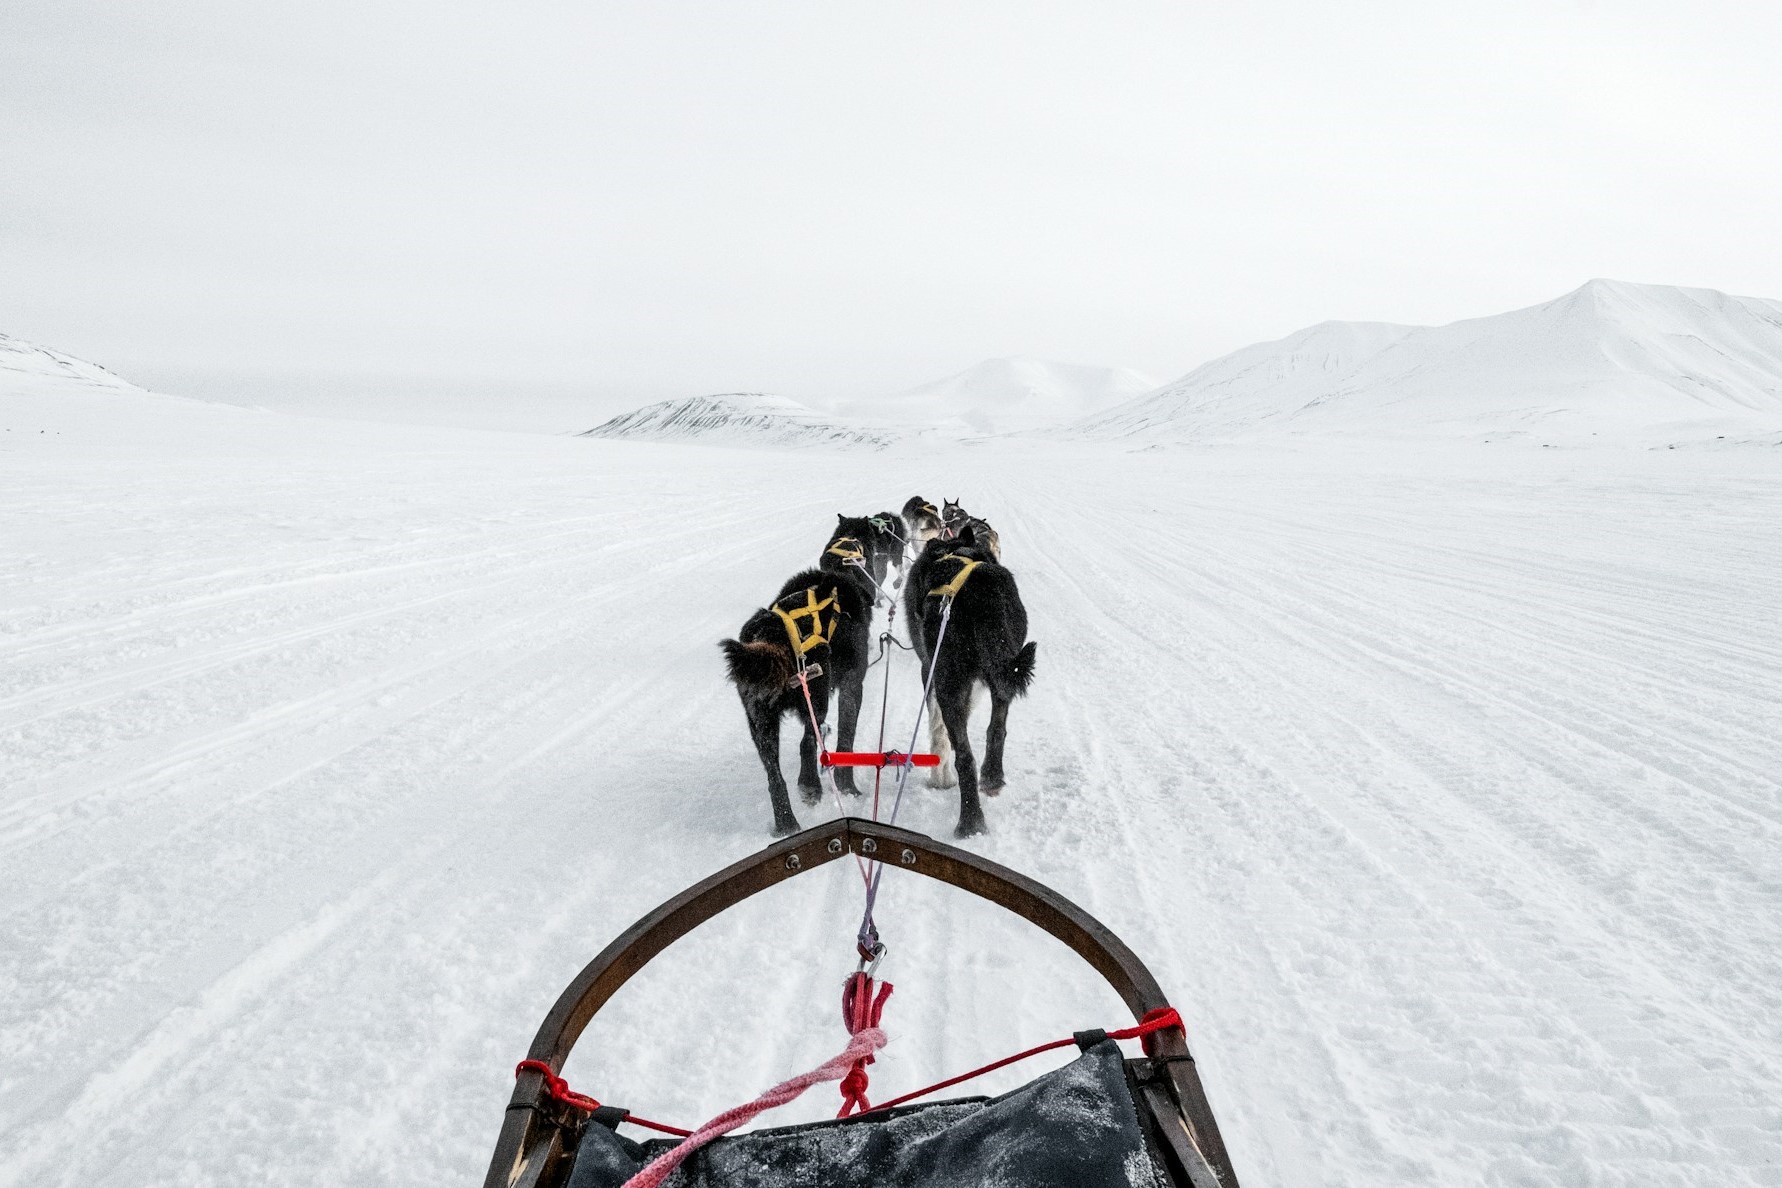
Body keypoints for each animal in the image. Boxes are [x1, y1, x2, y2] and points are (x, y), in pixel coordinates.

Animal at [905, 523, 1033, 840]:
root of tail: (982, 590)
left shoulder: (929, 671)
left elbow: (938, 730)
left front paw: (940, 777)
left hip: (948, 680)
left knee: (964, 756)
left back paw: (970, 822)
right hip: (1004, 672)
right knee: (996, 729)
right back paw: (992, 778)